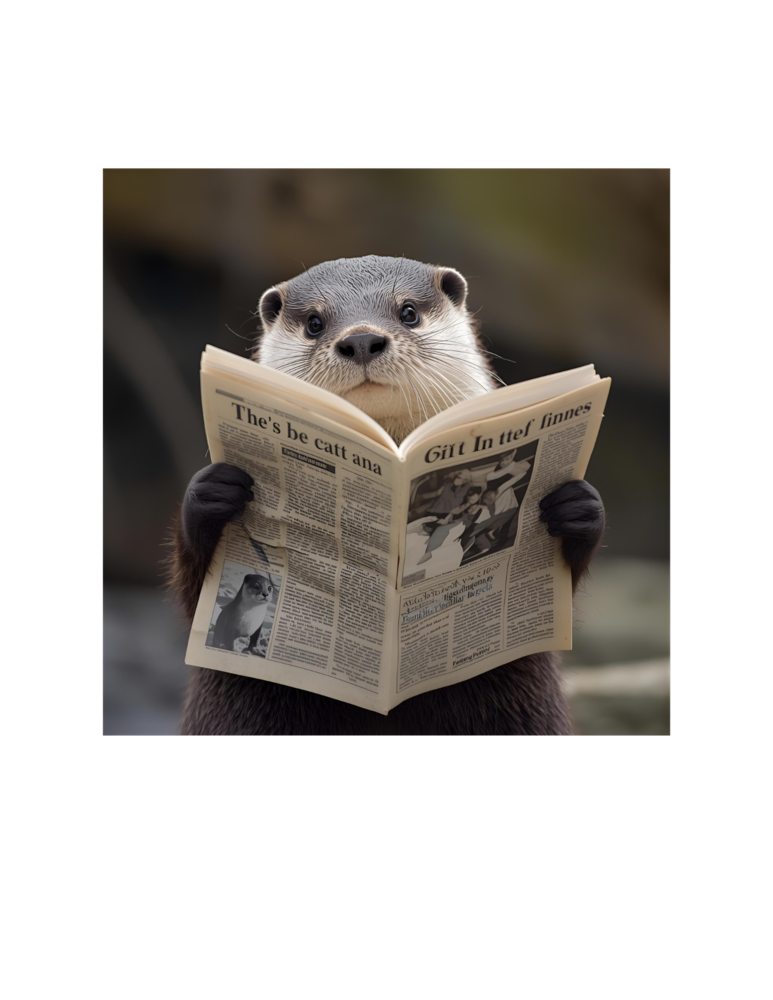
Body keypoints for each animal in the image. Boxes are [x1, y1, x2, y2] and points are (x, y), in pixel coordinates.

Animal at [170, 256, 605, 736]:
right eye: (315, 323)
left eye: (408, 312)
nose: (361, 339)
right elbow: (193, 598)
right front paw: (214, 491)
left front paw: (576, 508)